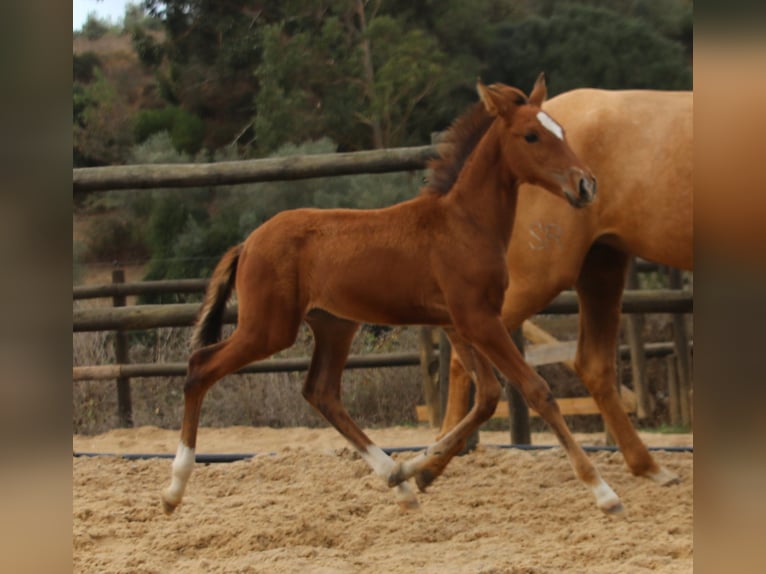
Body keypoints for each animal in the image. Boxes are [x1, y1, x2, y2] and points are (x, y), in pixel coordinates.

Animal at [162, 74, 632, 516]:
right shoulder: (478, 319)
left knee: (321, 392)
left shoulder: (460, 322)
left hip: (334, 325)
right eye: (531, 135)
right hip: (269, 328)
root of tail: (248, 243)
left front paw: (412, 469)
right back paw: (173, 489)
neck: (464, 223)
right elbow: (536, 390)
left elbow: (486, 397)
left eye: (563, 131)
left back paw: (397, 481)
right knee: (200, 366)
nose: (586, 185)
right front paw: (604, 492)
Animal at [438, 88, 696, 488]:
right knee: (461, 346)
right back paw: (433, 458)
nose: (586, 185)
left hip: (602, 265)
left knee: (593, 365)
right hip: (538, 278)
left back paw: (649, 466)